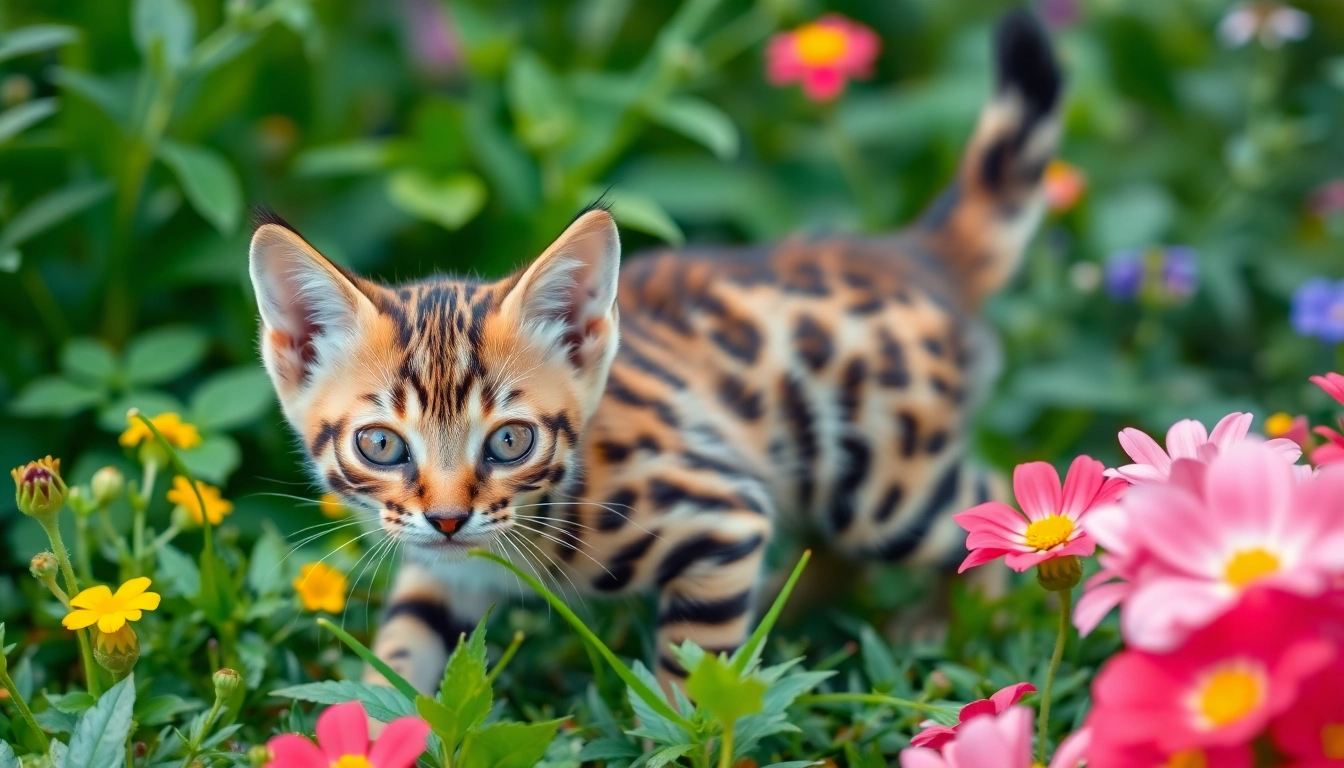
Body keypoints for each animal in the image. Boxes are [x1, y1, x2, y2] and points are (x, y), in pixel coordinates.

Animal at [249, 10, 1059, 699]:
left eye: (510, 441)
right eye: (381, 444)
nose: (448, 519)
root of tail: (914, 253)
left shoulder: (723, 515)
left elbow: (693, 682)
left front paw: (693, 727)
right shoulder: (443, 573)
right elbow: (402, 657)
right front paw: (372, 722)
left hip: (881, 485)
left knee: (980, 496)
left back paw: (957, 624)